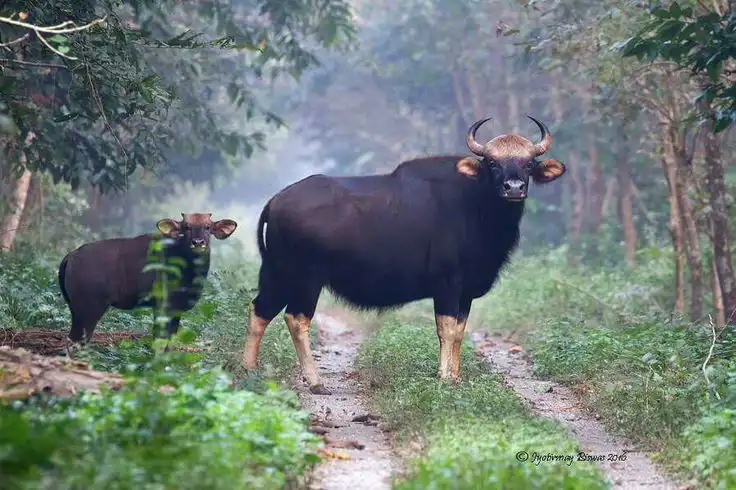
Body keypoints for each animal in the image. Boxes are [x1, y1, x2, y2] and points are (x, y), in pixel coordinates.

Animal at [59, 213, 237, 351]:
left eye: (208, 227)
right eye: (186, 227)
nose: (198, 242)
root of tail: (71, 255)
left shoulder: (175, 310)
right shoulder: (162, 306)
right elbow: (159, 341)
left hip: (75, 309)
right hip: (89, 308)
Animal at [242, 116, 566, 394]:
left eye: (528, 163)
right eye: (491, 162)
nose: (514, 187)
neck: (477, 209)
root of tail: (277, 200)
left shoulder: (466, 292)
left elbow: (460, 331)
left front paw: (455, 377)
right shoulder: (447, 285)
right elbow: (446, 330)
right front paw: (444, 378)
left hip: (276, 272)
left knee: (260, 310)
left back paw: (249, 369)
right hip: (304, 278)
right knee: (296, 318)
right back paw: (314, 380)